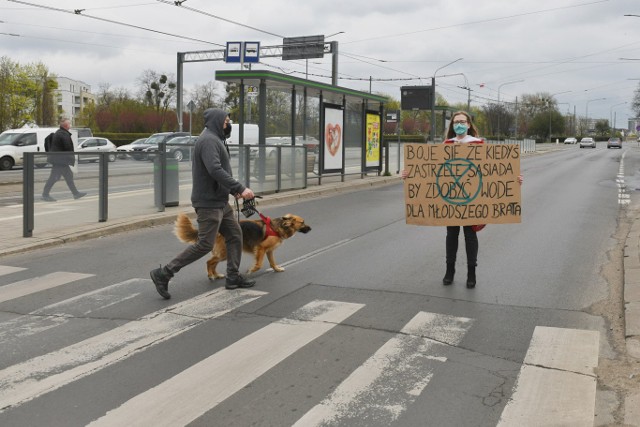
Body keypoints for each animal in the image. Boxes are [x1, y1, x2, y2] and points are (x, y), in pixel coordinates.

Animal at [175, 212, 310, 280]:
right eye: (302, 222)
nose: (311, 228)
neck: (277, 227)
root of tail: (217, 229)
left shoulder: (269, 251)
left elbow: (272, 262)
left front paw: (276, 269)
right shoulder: (261, 248)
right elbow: (259, 264)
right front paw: (251, 270)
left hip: (223, 253)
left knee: (213, 263)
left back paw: (216, 275)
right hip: (224, 253)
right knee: (209, 262)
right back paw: (211, 275)